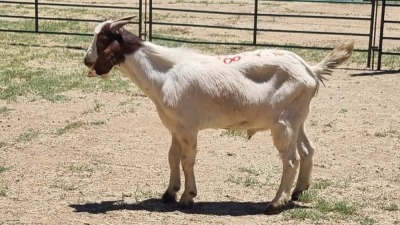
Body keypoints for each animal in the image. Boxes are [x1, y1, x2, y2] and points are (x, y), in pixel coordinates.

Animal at [83, 16, 354, 214]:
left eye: (103, 39)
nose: (86, 60)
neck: (164, 73)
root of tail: (311, 70)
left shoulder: (188, 127)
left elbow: (187, 161)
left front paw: (187, 197)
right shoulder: (175, 126)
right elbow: (172, 157)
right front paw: (169, 193)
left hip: (283, 123)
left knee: (291, 159)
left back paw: (276, 203)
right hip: (297, 118)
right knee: (308, 150)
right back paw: (298, 191)